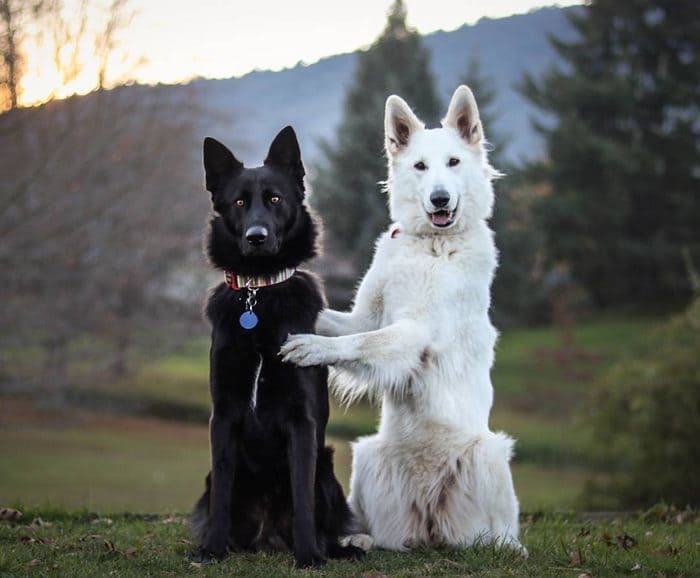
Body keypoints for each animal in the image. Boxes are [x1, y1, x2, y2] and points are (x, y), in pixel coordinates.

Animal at [193, 127, 364, 568]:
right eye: (239, 202)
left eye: (274, 199)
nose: (256, 238)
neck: (259, 295)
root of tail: (268, 535)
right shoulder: (224, 415)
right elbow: (221, 497)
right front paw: (212, 549)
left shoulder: (301, 420)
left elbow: (301, 496)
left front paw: (309, 557)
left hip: (328, 469)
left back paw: (332, 549)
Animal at [282, 84, 524, 548]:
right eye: (420, 166)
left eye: (453, 163)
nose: (439, 198)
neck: (430, 243)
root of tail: (429, 525)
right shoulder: (366, 317)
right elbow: (341, 324)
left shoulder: (415, 333)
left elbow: (360, 342)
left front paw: (312, 348)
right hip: (366, 456)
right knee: (381, 533)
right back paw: (360, 539)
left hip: (488, 455)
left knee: (497, 532)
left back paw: (504, 547)